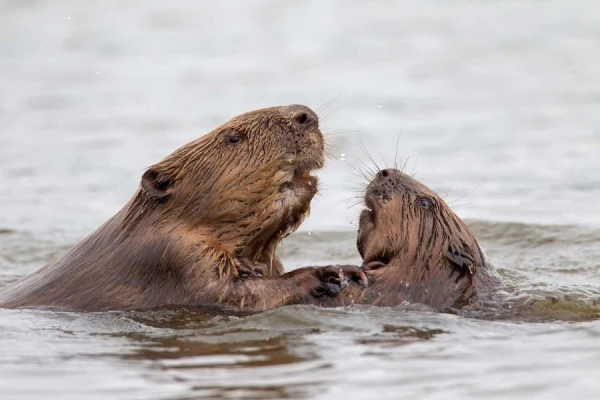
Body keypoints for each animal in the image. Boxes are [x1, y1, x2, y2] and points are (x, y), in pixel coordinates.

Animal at [1, 104, 366, 310]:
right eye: (233, 137)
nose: (304, 115)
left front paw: (349, 271)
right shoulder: (174, 255)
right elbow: (231, 294)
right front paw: (326, 273)